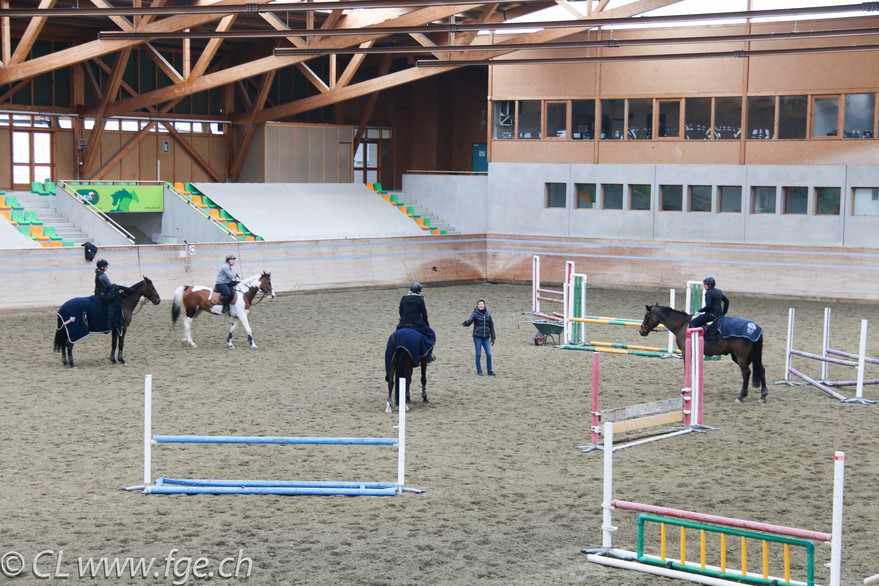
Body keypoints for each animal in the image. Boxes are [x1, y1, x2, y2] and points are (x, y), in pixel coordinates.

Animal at [639, 304, 768, 403]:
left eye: (646, 316)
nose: (641, 331)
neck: (682, 325)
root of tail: (754, 327)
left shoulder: (686, 352)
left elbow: (687, 369)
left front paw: (685, 390)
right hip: (750, 355)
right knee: (761, 370)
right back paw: (763, 396)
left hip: (741, 356)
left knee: (746, 372)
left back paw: (741, 396)